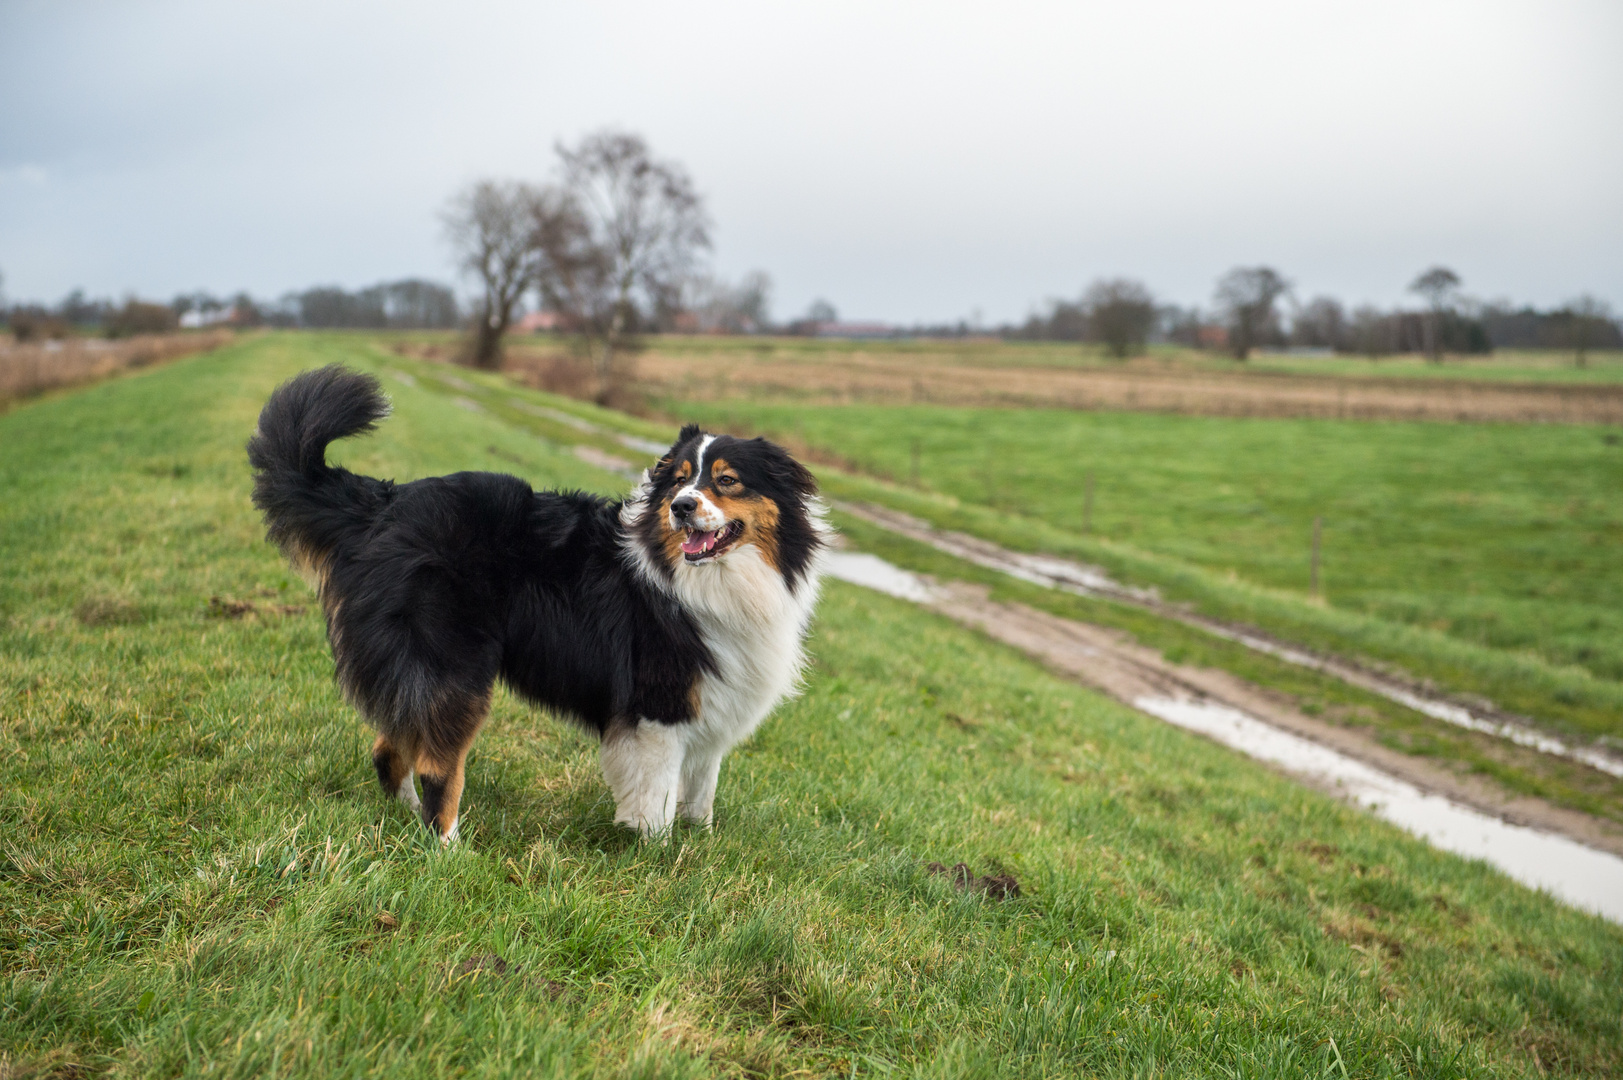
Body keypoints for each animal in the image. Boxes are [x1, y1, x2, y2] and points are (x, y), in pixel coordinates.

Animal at [246, 367, 830, 838]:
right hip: (456, 666)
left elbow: (700, 792)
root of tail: (382, 503)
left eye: (727, 480)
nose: (682, 508)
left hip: (419, 670)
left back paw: (406, 818)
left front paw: (700, 843)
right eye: (681, 481)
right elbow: (658, 799)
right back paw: (447, 846)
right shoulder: (658, 707)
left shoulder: (709, 704)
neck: (709, 578)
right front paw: (656, 857)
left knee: (389, 749)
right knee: (436, 764)